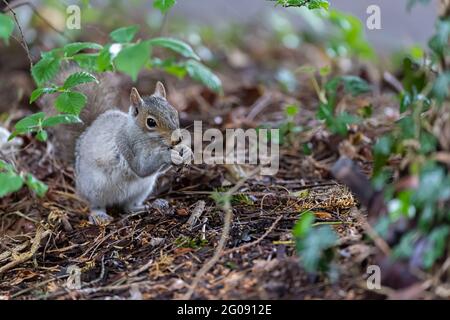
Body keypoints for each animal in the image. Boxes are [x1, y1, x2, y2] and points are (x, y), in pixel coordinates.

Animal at [39, 66, 192, 224]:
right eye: (150, 122)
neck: (149, 142)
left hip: (143, 188)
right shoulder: (125, 144)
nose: (178, 139)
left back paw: (147, 206)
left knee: (128, 206)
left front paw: (186, 150)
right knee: (96, 204)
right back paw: (99, 215)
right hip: (95, 189)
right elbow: (141, 168)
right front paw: (167, 155)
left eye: (175, 112)